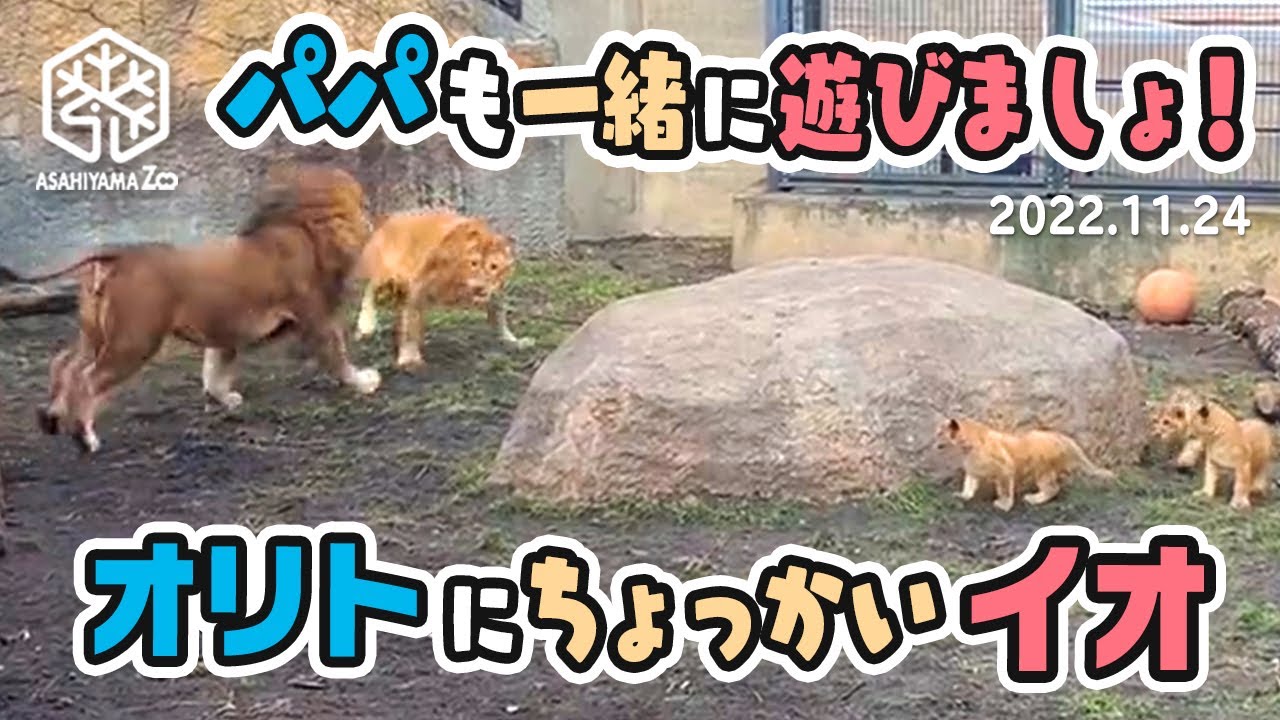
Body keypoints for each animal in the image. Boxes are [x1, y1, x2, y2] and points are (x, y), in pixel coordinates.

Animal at [0, 164, 381, 454]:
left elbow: (214, 371)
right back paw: (85, 438)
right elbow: (336, 355)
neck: (303, 228)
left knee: (63, 363)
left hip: (96, 333)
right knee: (87, 379)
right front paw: (363, 382)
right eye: (362, 205)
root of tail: (119, 253)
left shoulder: (226, 330)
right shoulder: (315, 317)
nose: (373, 223)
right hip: (135, 339)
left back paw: (49, 418)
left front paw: (225, 400)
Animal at [353, 209, 532, 370]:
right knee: (369, 289)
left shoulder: (496, 291)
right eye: (473, 263)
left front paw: (511, 340)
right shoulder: (418, 288)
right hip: (387, 276)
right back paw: (366, 326)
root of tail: (386, 221)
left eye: (493, 267)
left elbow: (499, 316)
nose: (480, 287)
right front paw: (410, 358)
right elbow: (410, 326)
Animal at [938, 416, 1115, 512]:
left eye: (940, 433)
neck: (966, 447)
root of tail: (1064, 438)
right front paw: (964, 495)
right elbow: (969, 484)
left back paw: (1033, 499)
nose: (935, 440)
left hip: (1043, 471)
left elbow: (1004, 489)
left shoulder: (1005, 469)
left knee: (1052, 488)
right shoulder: (973, 470)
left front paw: (1004, 505)